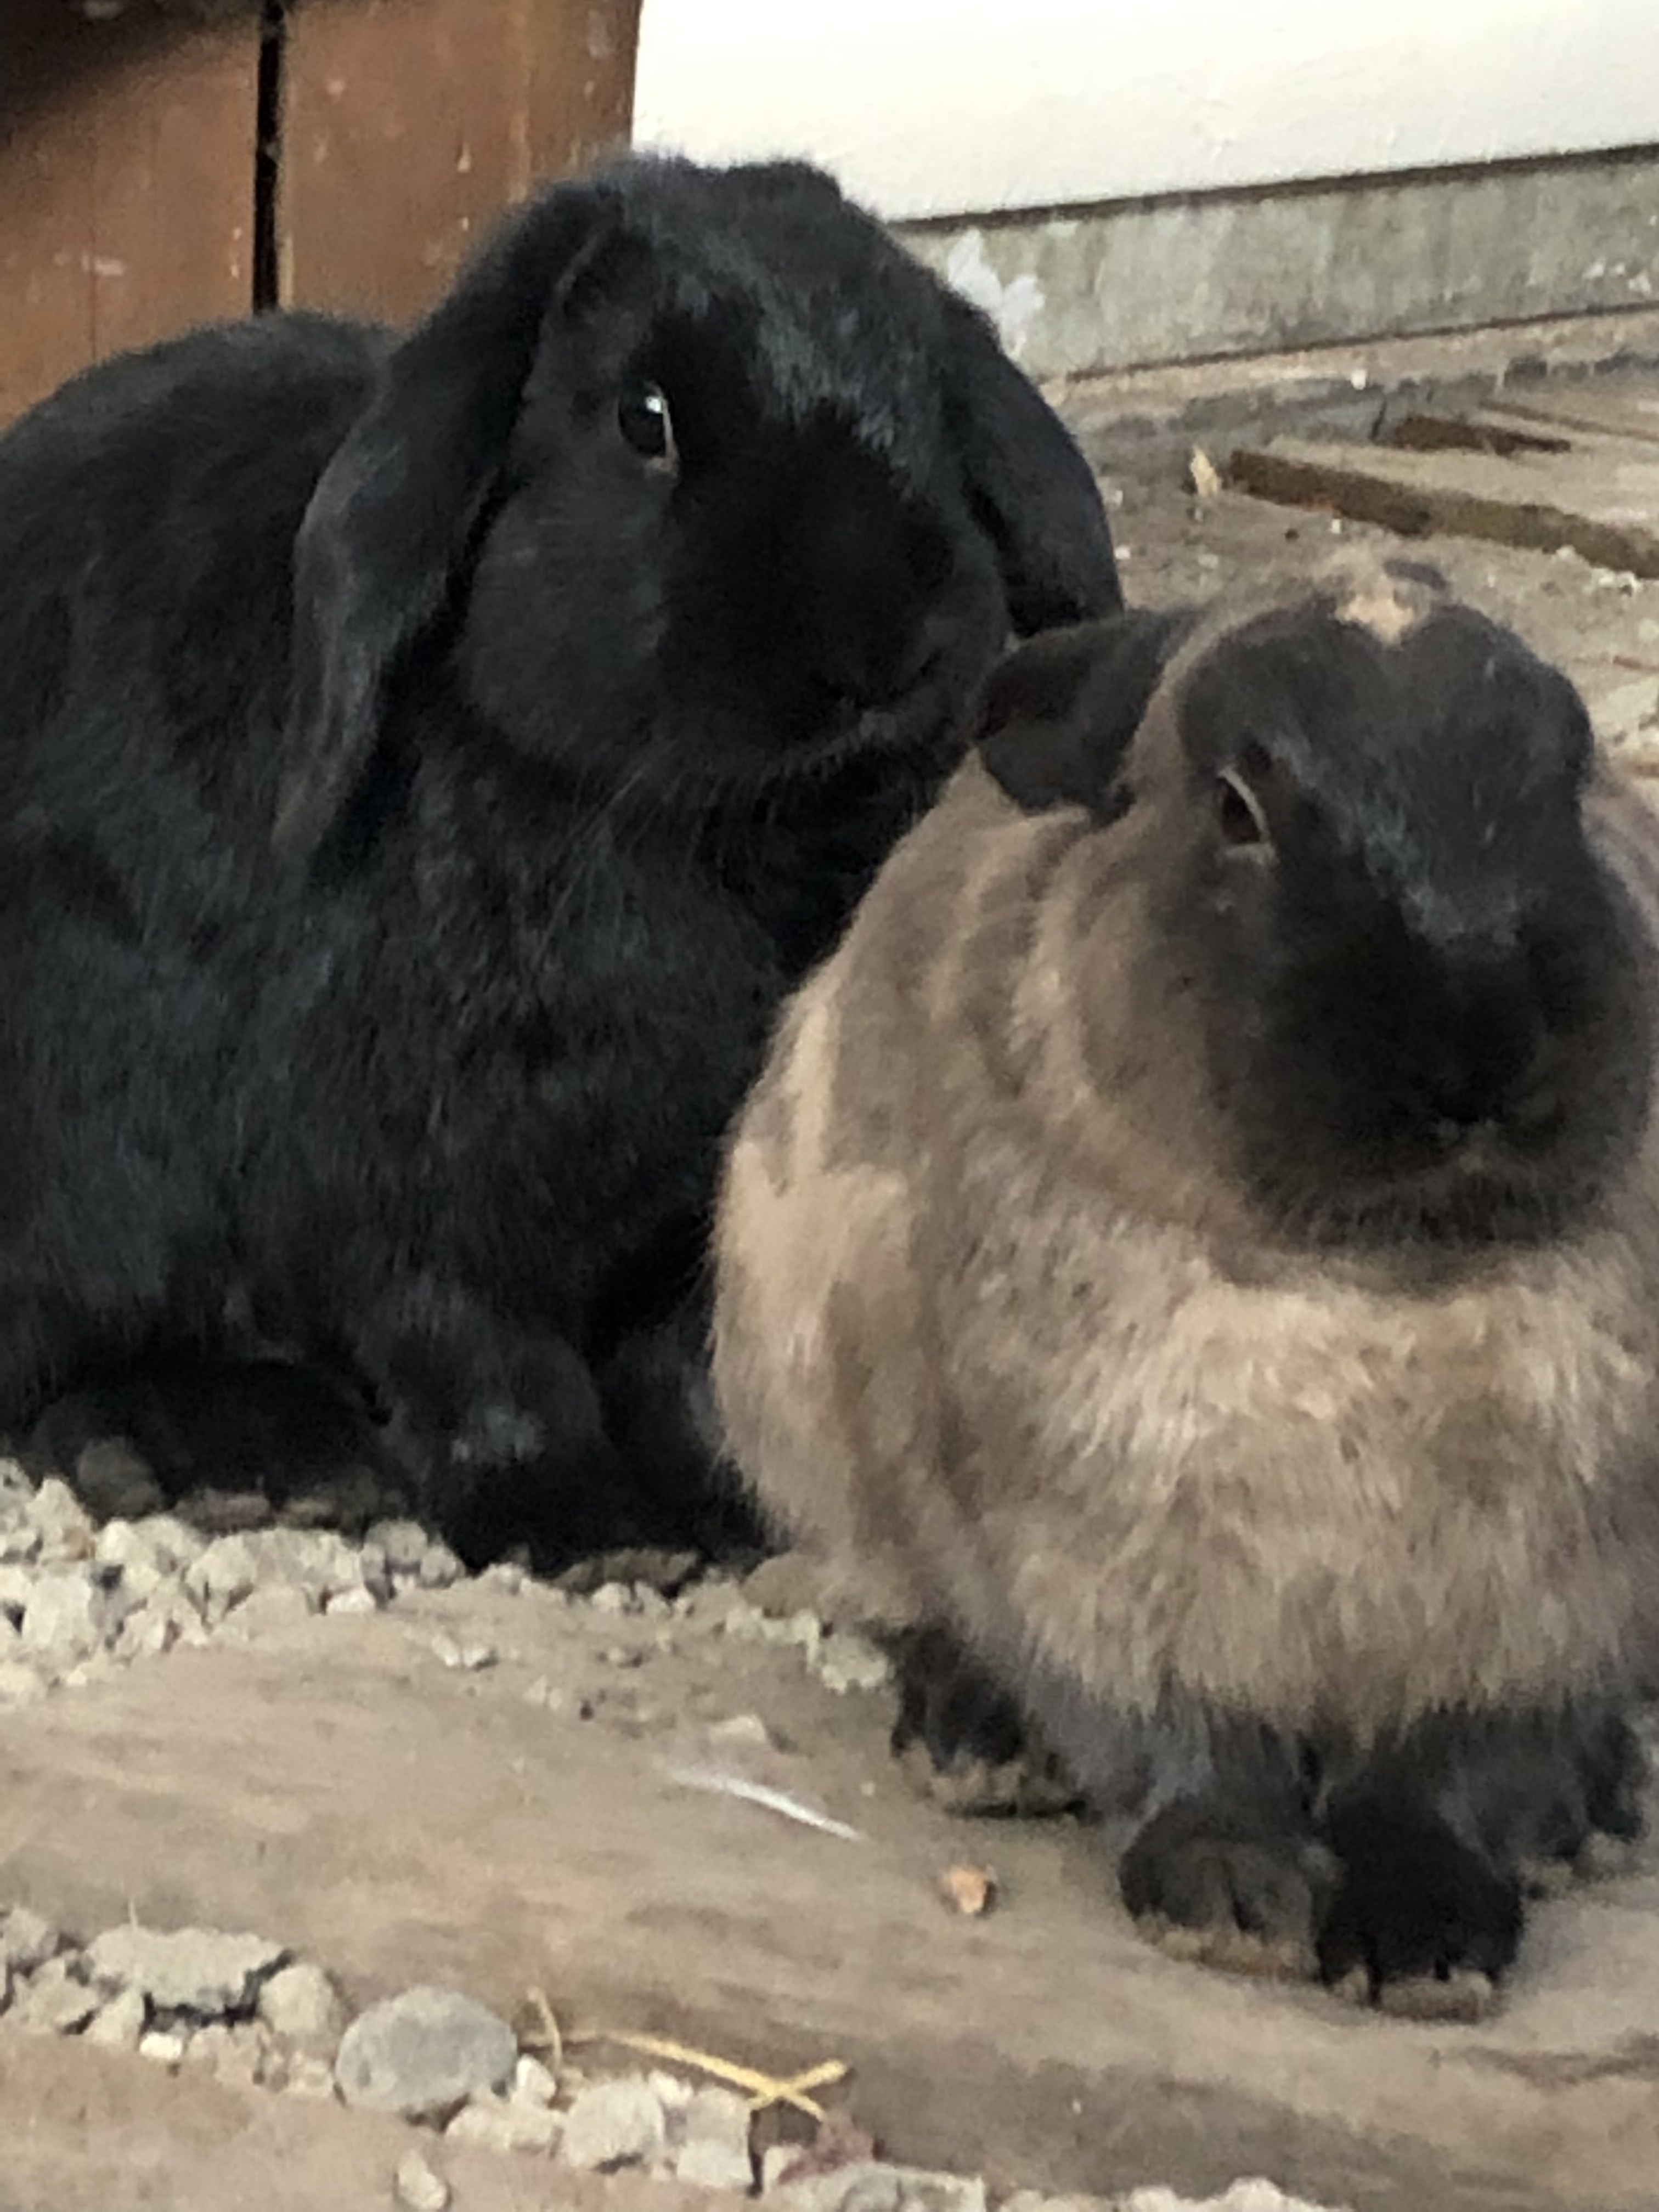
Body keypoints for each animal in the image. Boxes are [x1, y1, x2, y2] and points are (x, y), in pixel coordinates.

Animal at [0, 156, 1124, 1566]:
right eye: (645, 422)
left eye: (930, 394)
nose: (879, 642)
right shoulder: (405, 1203)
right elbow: (479, 1358)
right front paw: (585, 1526)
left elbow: (686, 1365)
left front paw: (731, 1507)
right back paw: (225, 1458)